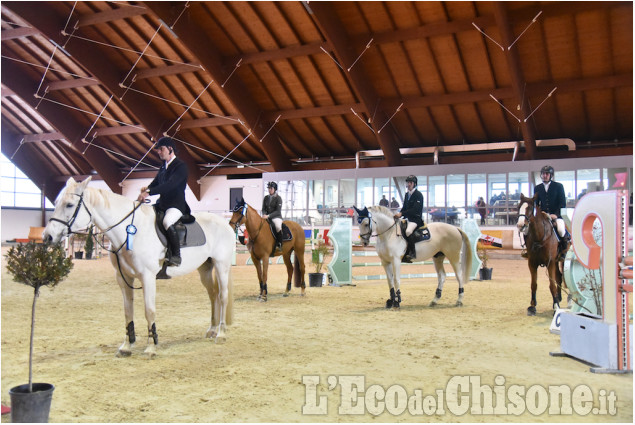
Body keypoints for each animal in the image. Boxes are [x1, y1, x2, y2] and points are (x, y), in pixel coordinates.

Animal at [42, 177, 236, 356]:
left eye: (69, 205)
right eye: (56, 203)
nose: (47, 237)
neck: (130, 231)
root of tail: (224, 223)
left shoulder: (148, 277)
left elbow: (149, 311)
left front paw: (151, 346)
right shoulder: (123, 278)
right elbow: (128, 312)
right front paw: (127, 346)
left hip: (221, 266)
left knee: (223, 296)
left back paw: (221, 334)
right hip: (205, 269)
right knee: (213, 295)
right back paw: (212, 330)